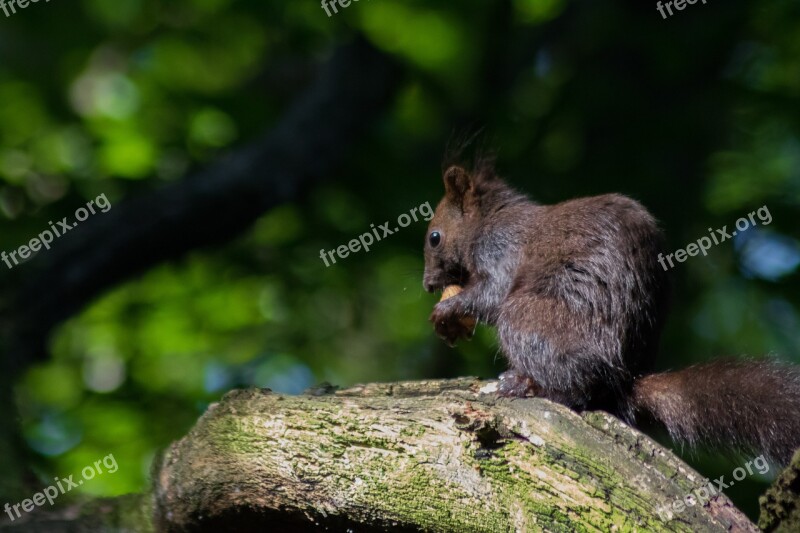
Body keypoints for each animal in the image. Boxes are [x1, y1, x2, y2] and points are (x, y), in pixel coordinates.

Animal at [428, 156, 800, 464]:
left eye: (434, 237)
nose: (428, 284)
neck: (489, 219)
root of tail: (624, 379)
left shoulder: (501, 248)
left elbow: (493, 292)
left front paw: (447, 308)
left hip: (526, 318)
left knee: (575, 388)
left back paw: (525, 385)